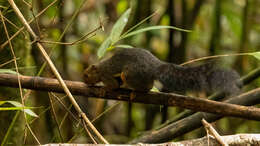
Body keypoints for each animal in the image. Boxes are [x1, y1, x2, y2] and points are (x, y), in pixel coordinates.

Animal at [84, 48, 242, 95]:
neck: (99, 68)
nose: (84, 81)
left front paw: (103, 89)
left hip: (131, 73)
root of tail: (155, 66)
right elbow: (118, 84)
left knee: (144, 86)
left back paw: (136, 92)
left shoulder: (106, 75)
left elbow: (113, 85)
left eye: (86, 74)